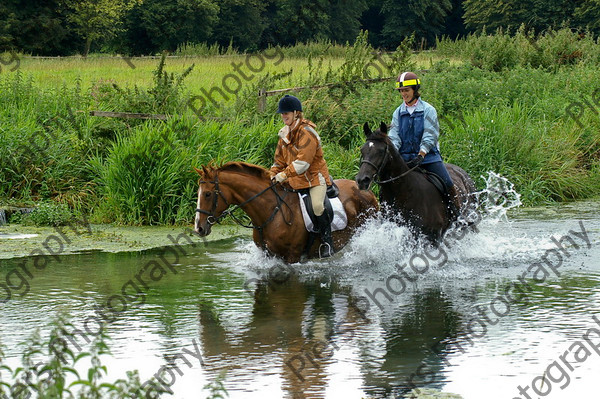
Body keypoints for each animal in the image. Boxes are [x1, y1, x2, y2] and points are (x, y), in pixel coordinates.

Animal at [195, 161, 378, 264]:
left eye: (208, 194)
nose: (199, 228)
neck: (272, 211)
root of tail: (366, 190)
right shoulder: (269, 256)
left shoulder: (292, 257)